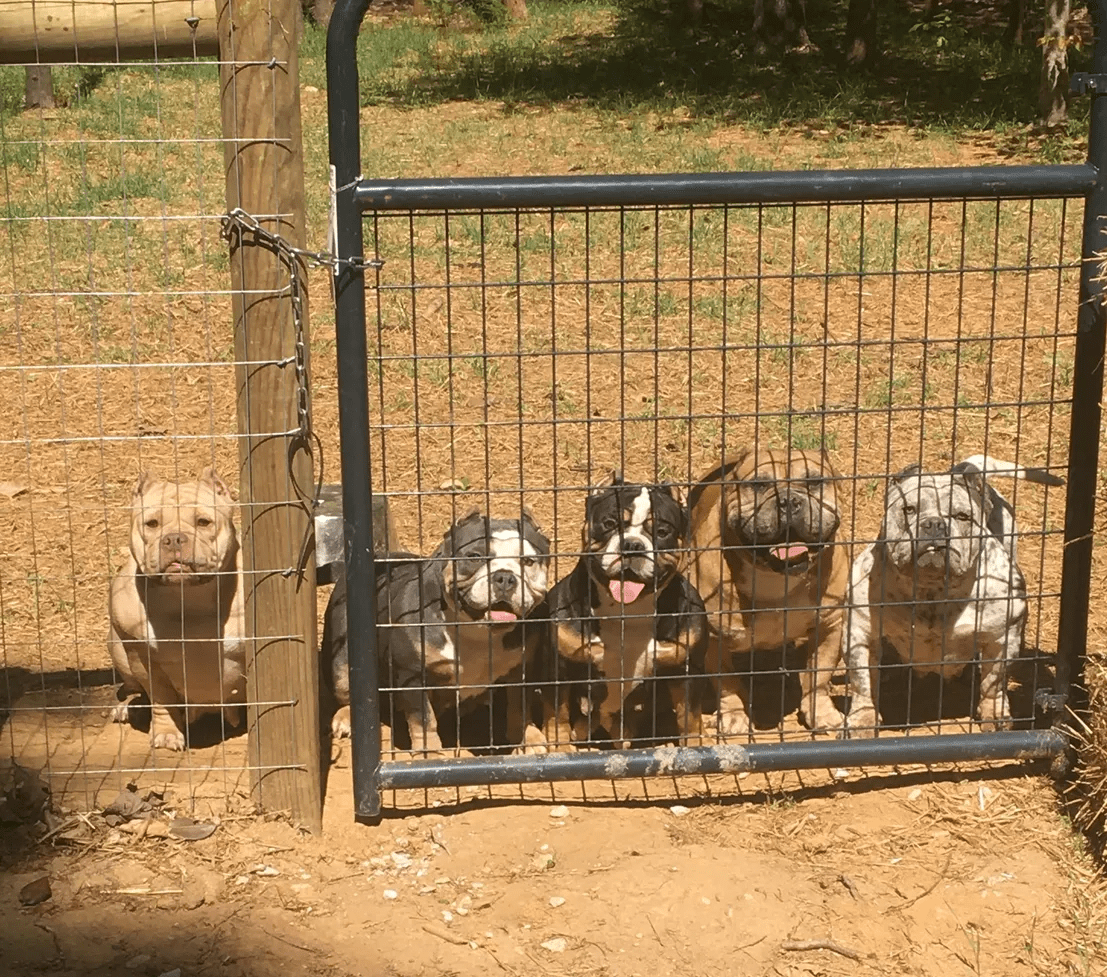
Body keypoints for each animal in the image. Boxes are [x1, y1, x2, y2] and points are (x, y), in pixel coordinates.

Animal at [108, 469, 246, 752]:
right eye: (152, 523)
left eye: (203, 522)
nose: (174, 538)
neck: (187, 597)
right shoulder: (142, 658)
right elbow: (162, 699)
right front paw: (166, 733)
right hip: (115, 645)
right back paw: (131, 708)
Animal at [325, 511, 553, 756]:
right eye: (474, 556)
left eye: (528, 561)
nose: (505, 577)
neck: (477, 632)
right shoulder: (413, 675)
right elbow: (423, 720)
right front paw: (429, 752)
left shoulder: (522, 668)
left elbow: (519, 707)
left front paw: (528, 739)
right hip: (342, 659)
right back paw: (346, 718)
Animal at [542, 469, 708, 743]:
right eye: (609, 524)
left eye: (662, 531)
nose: (632, 545)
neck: (627, 613)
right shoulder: (559, 668)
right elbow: (558, 714)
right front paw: (558, 746)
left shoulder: (686, 671)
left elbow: (690, 718)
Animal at [686, 447, 850, 739]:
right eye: (759, 485)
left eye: (815, 482)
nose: (788, 500)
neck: (775, 577)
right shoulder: (715, 639)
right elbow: (727, 681)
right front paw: (734, 716)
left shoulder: (830, 626)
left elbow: (819, 676)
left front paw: (822, 712)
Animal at [845, 453, 1062, 739]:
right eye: (909, 509)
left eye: (962, 516)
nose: (935, 523)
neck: (933, 590)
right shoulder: (861, 633)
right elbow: (863, 683)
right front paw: (862, 720)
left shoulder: (1003, 638)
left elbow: (993, 682)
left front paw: (994, 713)